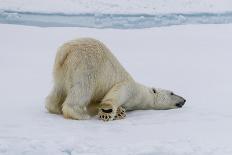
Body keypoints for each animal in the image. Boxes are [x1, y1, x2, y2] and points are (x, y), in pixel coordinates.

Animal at [46, 37, 186, 121]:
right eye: (172, 92)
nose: (184, 100)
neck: (143, 94)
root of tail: (66, 50)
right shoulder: (130, 88)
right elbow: (117, 92)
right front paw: (108, 111)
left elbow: (95, 102)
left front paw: (119, 111)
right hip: (86, 66)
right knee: (82, 89)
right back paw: (80, 114)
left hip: (61, 70)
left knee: (58, 90)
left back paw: (54, 107)